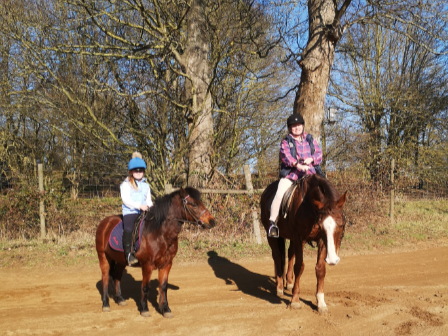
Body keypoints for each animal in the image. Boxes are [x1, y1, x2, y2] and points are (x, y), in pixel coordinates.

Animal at [96, 188, 215, 316]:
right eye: (193, 204)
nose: (212, 221)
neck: (161, 234)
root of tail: (105, 222)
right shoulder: (147, 265)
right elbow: (145, 287)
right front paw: (144, 309)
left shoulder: (167, 264)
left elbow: (163, 286)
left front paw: (165, 309)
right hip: (103, 257)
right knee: (105, 278)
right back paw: (106, 304)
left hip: (121, 261)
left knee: (117, 276)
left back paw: (120, 299)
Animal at [260, 175, 348, 314]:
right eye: (321, 226)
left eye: (341, 225)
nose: (332, 260)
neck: (310, 207)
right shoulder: (299, 238)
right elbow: (299, 267)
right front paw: (295, 300)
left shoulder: (321, 240)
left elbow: (320, 269)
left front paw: (321, 303)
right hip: (272, 236)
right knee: (277, 256)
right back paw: (279, 287)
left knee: (290, 253)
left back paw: (289, 282)